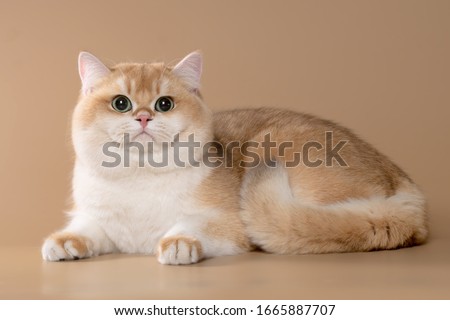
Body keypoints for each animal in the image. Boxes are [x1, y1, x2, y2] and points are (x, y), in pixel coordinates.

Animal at [42, 50, 428, 264]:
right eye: (120, 103)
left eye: (164, 104)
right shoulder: (98, 220)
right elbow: (86, 230)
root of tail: (405, 185)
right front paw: (63, 243)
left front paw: (180, 243)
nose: (143, 117)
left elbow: (193, 227)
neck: (140, 177)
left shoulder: (228, 224)